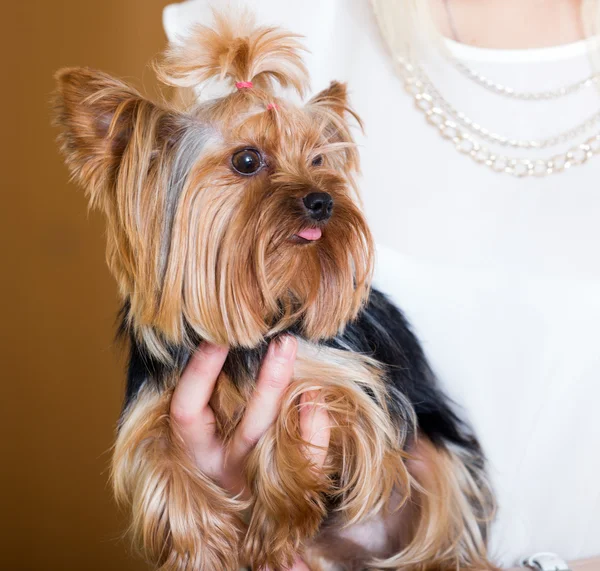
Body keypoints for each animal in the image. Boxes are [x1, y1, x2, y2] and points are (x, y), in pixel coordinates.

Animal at [51, 10, 494, 571]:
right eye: (246, 160)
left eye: (320, 159)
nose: (323, 201)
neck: (258, 318)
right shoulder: (155, 404)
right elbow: (158, 459)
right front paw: (203, 547)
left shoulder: (342, 378)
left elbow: (302, 400)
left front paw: (282, 512)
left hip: (440, 462)